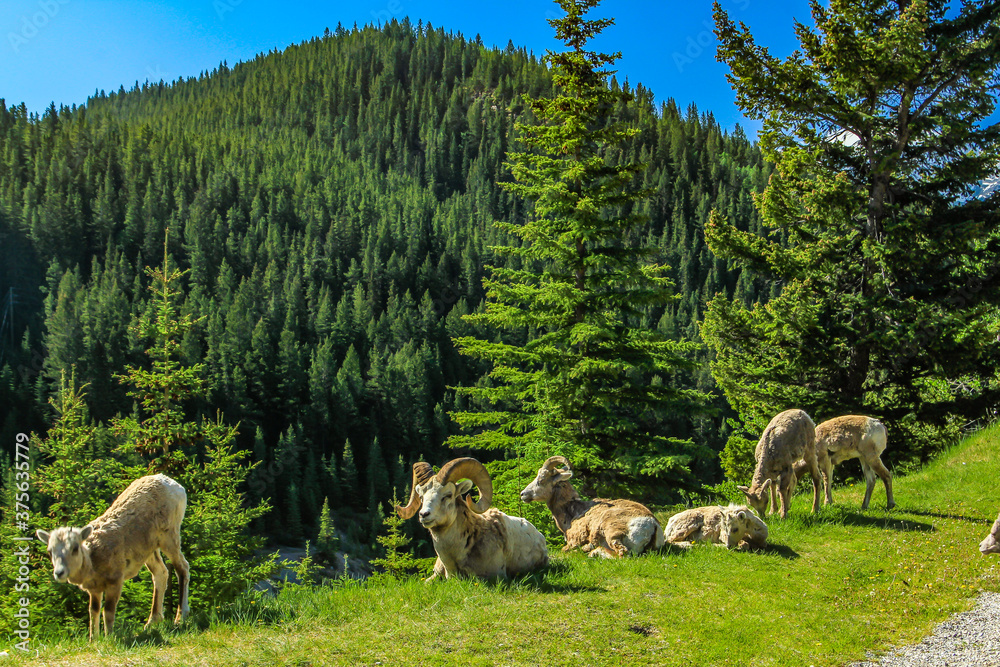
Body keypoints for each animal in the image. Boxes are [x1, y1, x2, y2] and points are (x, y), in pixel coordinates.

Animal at [35, 474, 189, 640]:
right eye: (50, 551)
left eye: (75, 548)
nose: (59, 573)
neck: (93, 563)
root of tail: (175, 485)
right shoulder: (94, 589)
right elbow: (93, 610)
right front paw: (93, 639)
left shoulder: (115, 580)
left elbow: (108, 611)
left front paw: (109, 637)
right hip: (150, 549)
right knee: (161, 573)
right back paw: (151, 623)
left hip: (169, 535)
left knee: (182, 568)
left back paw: (180, 618)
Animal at [516, 454, 664, 560]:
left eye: (541, 479)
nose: (523, 494)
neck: (572, 512)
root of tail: (652, 524)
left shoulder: (573, 541)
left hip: (613, 533)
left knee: (622, 554)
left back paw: (591, 551)